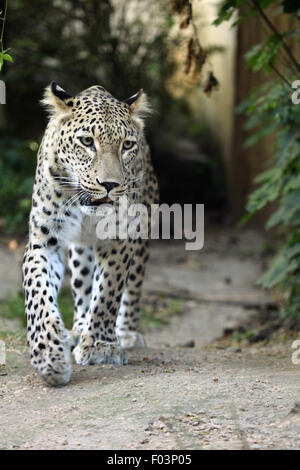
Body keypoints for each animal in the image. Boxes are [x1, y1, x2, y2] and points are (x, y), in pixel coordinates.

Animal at [22, 81, 159, 386]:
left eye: (126, 145)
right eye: (87, 142)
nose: (109, 184)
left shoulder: (120, 238)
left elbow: (108, 291)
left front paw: (99, 346)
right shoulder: (44, 241)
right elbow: (38, 294)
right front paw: (48, 354)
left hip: (143, 229)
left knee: (132, 286)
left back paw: (125, 332)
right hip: (79, 251)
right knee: (83, 285)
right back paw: (78, 328)